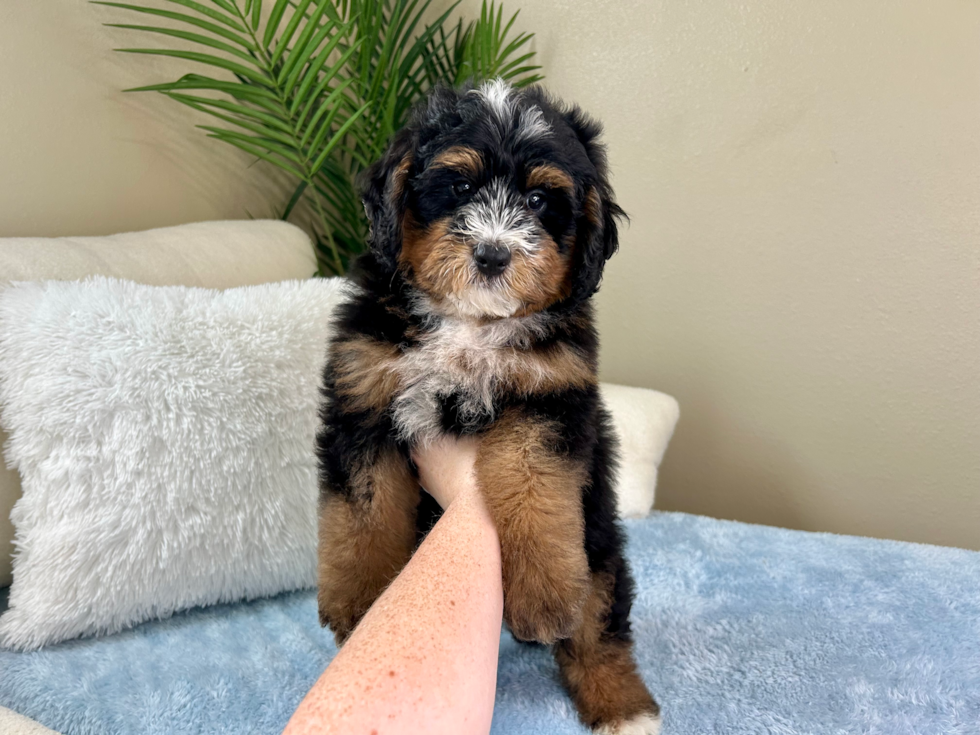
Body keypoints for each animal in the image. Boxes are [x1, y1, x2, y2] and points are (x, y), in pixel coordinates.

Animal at [318, 80, 664, 735]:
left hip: (600, 541)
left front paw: (545, 591)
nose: (494, 254)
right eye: (459, 187)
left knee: (599, 627)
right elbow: (363, 508)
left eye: (538, 199)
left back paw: (623, 707)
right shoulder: (362, 395)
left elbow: (532, 485)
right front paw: (362, 600)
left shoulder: (548, 400)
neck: (470, 322)